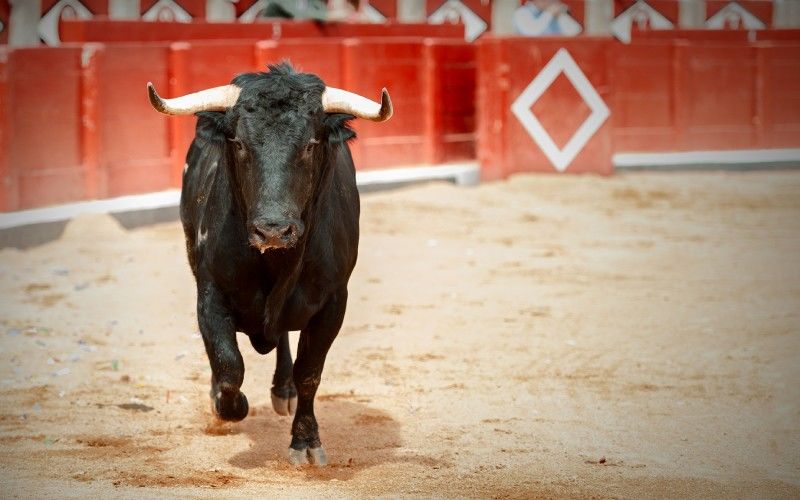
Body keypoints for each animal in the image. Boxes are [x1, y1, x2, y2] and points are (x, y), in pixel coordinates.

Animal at [146, 63, 392, 466]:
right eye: (239, 144)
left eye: (310, 145)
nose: (273, 229)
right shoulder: (209, 295)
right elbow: (229, 366)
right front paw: (228, 406)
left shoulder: (333, 302)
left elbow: (310, 372)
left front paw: (305, 441)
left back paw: (284, 390)